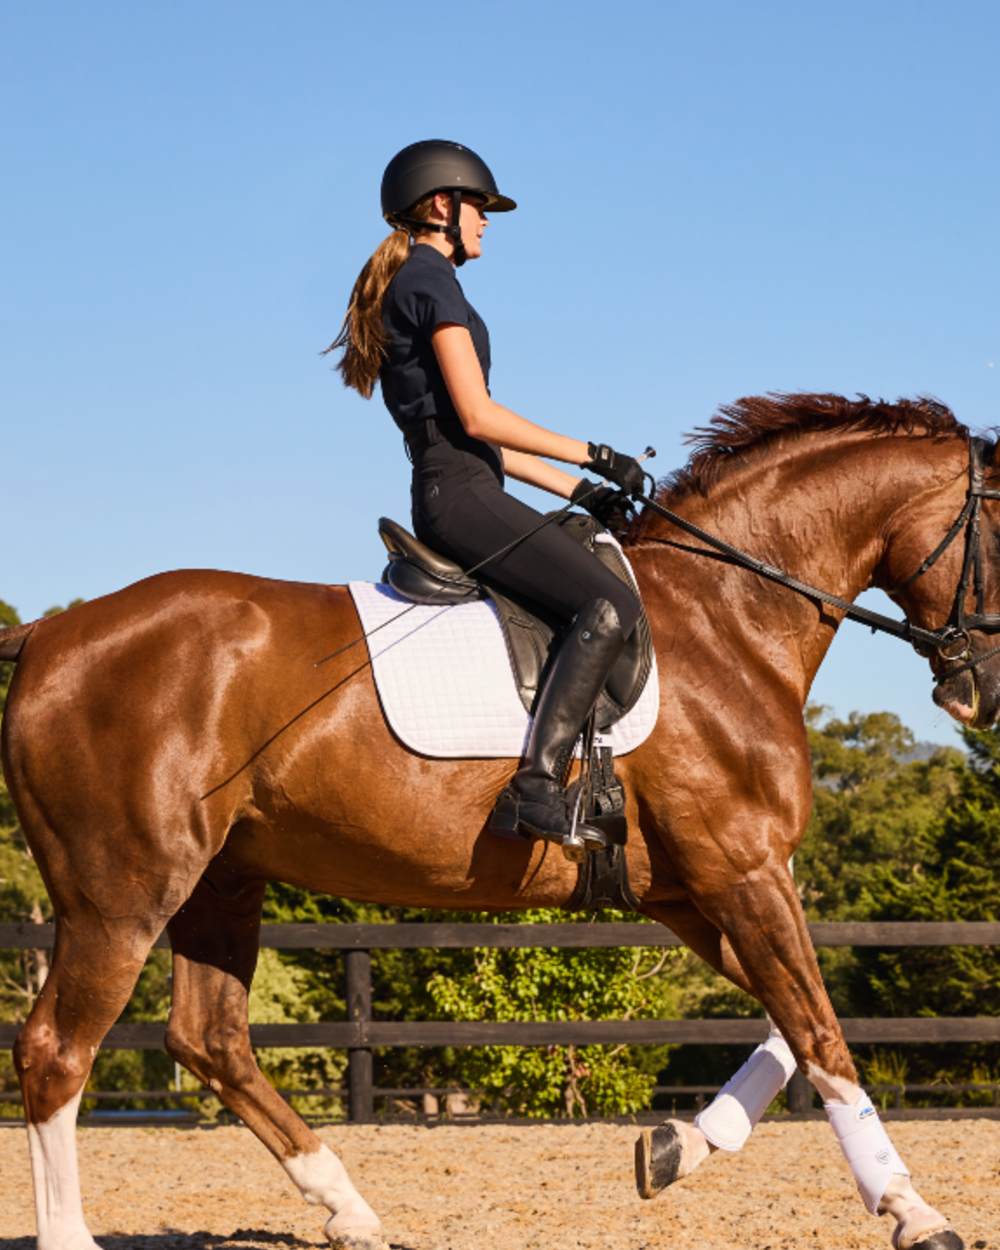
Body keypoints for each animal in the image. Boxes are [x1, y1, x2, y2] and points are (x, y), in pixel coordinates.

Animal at [3, 393, 993, 1250]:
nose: (978, 692)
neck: (730, 620)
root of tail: (49, 634)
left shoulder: (691, 889)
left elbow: (791, 1024)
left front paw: (675, 1148)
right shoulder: (742, 871)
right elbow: (822, 1033)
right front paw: (912, 1210)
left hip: (221, 880)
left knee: (209, 1037)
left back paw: (349, 1207)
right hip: (122, 893)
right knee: (57, 1050)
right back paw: (79, 1234)